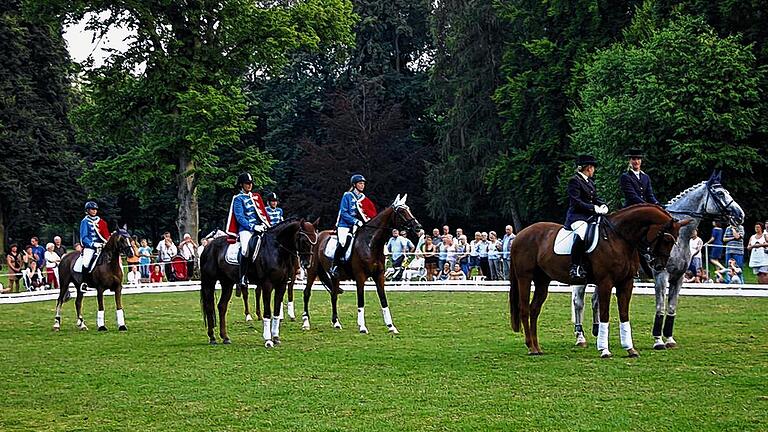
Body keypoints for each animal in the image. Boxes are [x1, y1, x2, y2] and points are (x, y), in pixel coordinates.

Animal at [302, 196, 424, 334]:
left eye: (408, 209)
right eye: (401, 211)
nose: (418, 227)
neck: (370, 244)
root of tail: (317, 236)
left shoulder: (379, 276)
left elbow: (383, 299)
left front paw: (391, 326)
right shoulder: (360, 276)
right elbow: (361, 300)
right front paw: (362, 327)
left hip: (334, 276)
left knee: (333, 295)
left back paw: (336, 323)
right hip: (312, 271)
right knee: (307, 293)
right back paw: (306, 323)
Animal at [510, 205, 684, 358]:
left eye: (674, 241)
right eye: (667, 239)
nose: (659, 266)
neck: (619, 238)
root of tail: (520, 234)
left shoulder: (626, 283)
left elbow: (624, 314)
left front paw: (630, 349)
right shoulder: (605, 282)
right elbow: (604, 314)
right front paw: (604, 350)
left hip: (542, 281)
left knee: (534, 309)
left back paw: (537, 347)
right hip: (525, 278)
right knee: (524, 309)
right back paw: (531, 347)